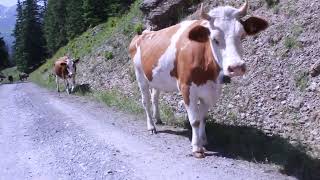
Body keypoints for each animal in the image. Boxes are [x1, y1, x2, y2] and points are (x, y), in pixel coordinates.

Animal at [128, 0, 268, 158]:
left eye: (242, 35)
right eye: (214, 39)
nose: (236, 67)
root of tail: (143, 34)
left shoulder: (212, 90)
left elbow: (202, 117)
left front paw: (203, 139)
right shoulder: (186, 88)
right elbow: (195, 120)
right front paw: (197, 147)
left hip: (155, 78)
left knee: (155, 97)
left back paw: (157, 118)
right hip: (140, 76)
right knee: (145, 101)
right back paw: (151, 126)